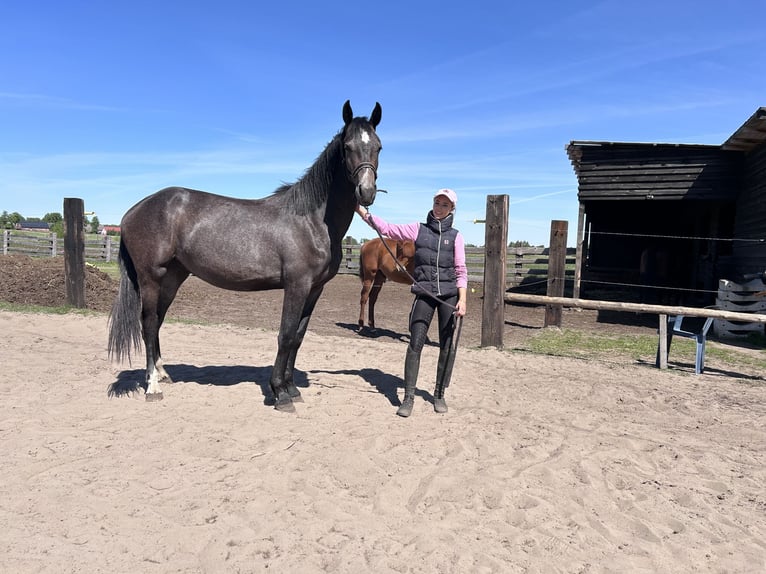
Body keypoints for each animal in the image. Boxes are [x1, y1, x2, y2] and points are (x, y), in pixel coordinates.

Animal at [108, 100, 382, 413]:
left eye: (378, 146)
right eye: (347, 147)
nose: (366, 192)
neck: (311, 219)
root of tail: (133, 211)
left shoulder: (315, 289)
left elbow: (298, 338)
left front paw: (292, 388)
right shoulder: (297, 285)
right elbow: (286, 335)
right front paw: (280, 393)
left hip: (173, 278)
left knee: (156, 323)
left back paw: (163, 374)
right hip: (151, 278)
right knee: (149, 323)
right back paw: (153, 386)